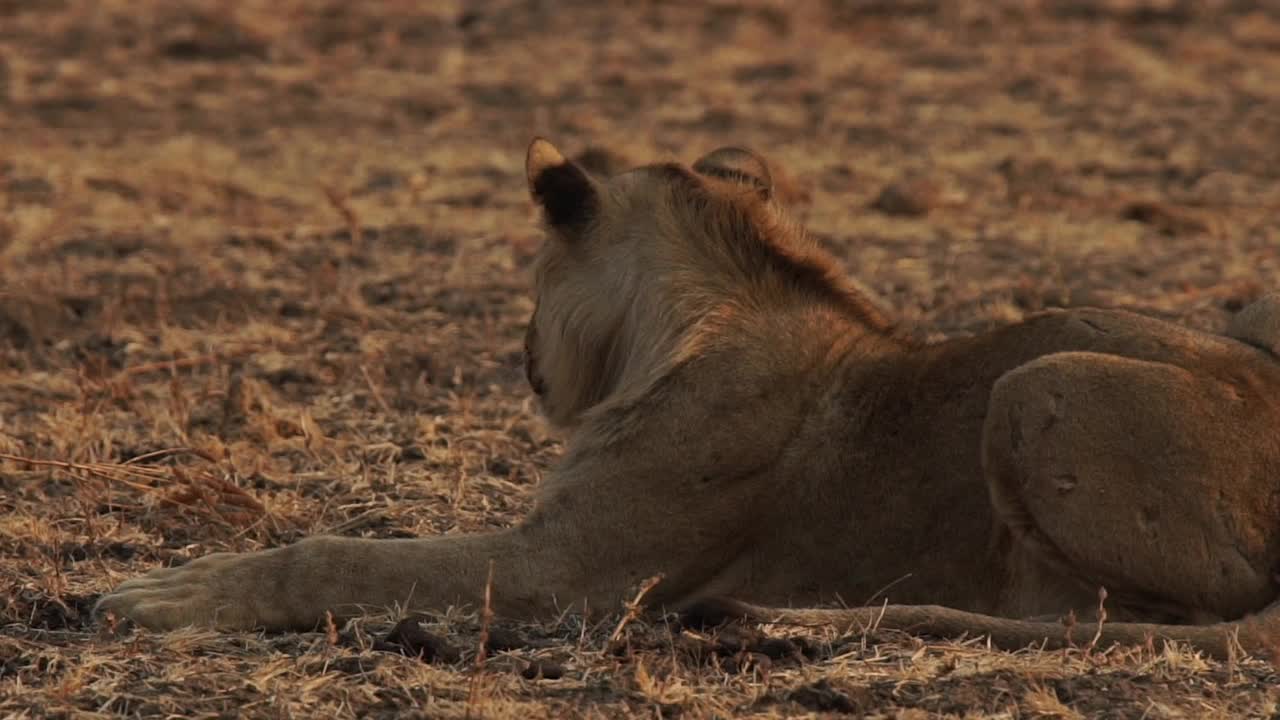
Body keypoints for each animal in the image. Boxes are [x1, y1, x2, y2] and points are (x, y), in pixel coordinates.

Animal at [94, 137, 1280, 661]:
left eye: (532, 274)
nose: (522, 354)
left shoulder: (568, 573)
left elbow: (336, 555)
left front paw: (163, 597)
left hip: (1036, 388)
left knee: (1134, 620)